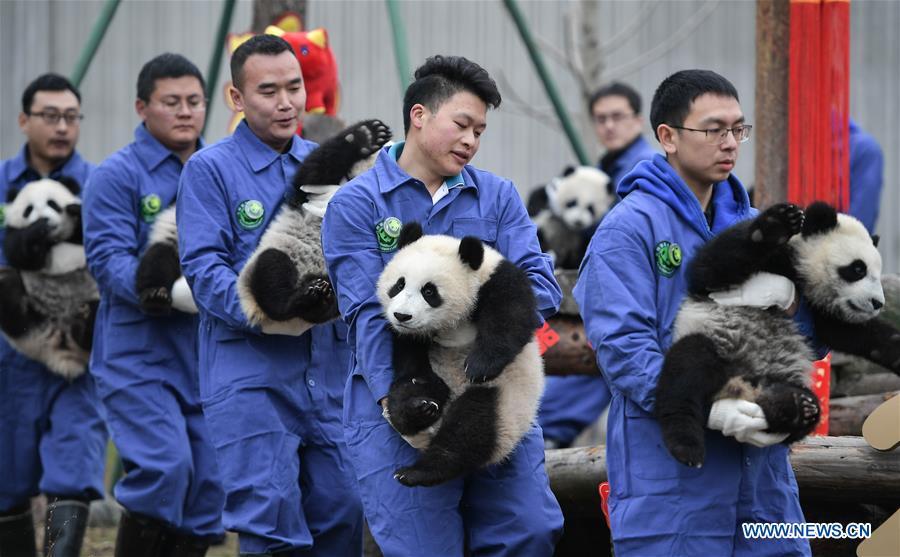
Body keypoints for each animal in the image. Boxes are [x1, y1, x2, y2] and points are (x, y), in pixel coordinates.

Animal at [0, 177, 99, 379]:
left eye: (52, 204)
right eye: (28, 210)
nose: (43, 219)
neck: (52, 240)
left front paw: (76, 211)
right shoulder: (13, 234)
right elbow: (21, 253)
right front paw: (35, 230)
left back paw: (84, 322)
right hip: (32, 330)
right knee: (8, 289)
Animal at [237, 118, 392, 333]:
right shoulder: (307, 194)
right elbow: (314, 171)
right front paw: (367, 136)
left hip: (332, 277)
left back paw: (321, 299)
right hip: (277, 254)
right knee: (272, 273)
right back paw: (298, 299)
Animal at [376, 222, 544, 487]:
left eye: (429, 291)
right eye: (399, 285)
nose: (402, 316)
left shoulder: (500, 280)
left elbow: (510, 318)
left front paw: (479, 366)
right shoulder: (409, 338)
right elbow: (409, 355)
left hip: (504, 401)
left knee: (470, 429)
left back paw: (420, 471)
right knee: (404, 395)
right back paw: (420, 408)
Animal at [655, 202, 900, 468]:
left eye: (876, 272)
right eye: (857, 269)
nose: (877, 303)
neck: (799, 270)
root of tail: (738, 386)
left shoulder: (817, 311)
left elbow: (854, 333)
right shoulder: (764, 263)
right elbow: (710, 269)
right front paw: (776, 224)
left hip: (783, 378)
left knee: (802, 409)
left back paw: (794, 407)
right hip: (713, 343)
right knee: (687, 368)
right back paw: (686, 446)